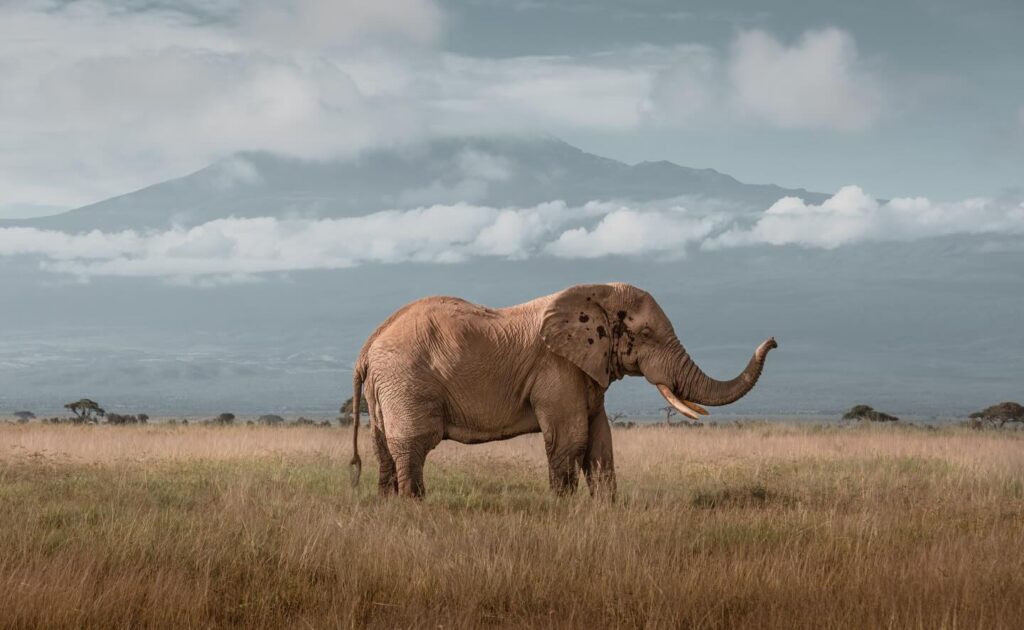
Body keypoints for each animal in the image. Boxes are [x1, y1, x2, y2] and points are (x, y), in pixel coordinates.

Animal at [348, 283, 776, 498]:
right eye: (646, 334)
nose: (773, 340)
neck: (593, 297)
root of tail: (367, 347)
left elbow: (600, 442)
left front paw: (605, 512)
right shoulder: (557, 369)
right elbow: (572, 439)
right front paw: (565, 512)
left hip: (386, 389)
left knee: (383, 450)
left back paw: (388, 506)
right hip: (406, 382)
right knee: (413, 447)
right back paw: (414, 507)